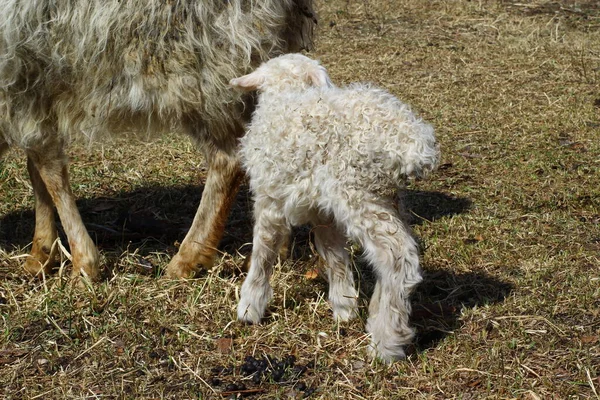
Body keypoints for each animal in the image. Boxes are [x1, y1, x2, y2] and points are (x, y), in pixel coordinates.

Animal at [0, 0, 316, 282]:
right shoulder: (32, 88)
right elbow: (37, 171)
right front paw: (40, 254)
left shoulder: (20, 85)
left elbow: (49, 171)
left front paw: (82, 263)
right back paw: (275, 249)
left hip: (209, 62)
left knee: (228, 159)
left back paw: (188, 258)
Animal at [227, 53, 438, 362]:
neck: (288, 93)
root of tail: (411, 144)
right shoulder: (323, 213)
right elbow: (333, 253)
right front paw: (344, 306)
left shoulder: (270, 200)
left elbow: (263, 252)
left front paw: (249, 306)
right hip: (388, 198)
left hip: (358, 194)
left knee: (398, 258)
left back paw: (386, 342)